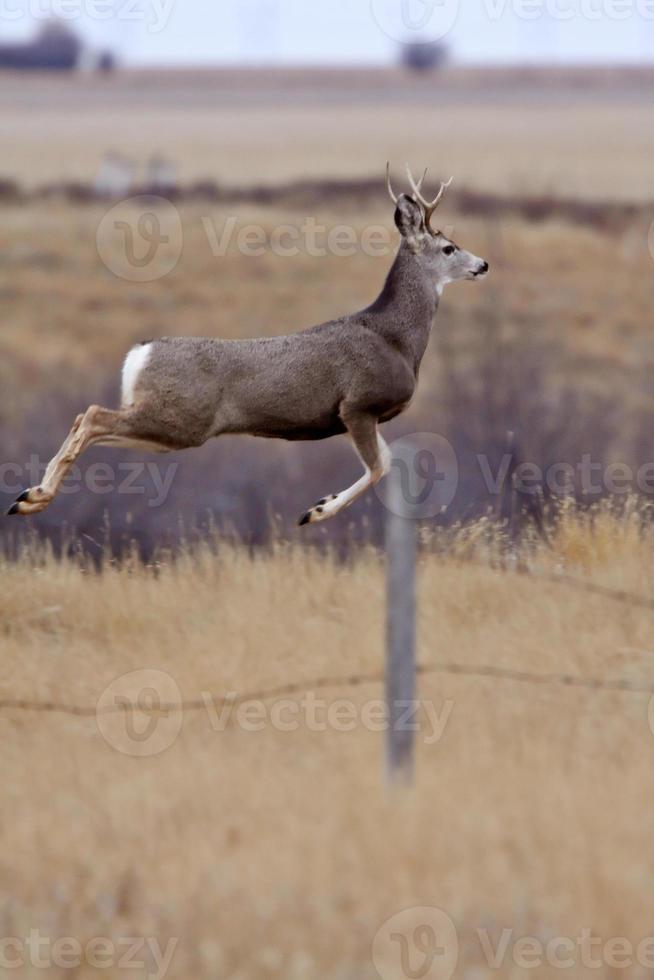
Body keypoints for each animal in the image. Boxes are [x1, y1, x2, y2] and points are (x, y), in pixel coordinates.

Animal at [7, 165, 490, 524]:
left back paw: (30, 494)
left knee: (86, 419)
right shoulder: (357, 404)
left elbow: (386, 464)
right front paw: (315, 510)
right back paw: (31, 497)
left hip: (166, 427)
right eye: (449, 248)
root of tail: (140, 354)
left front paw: (318, 504)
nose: (483, 264)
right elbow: (381, 465)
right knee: (90, 415)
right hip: (180, 418)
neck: (396, 338)